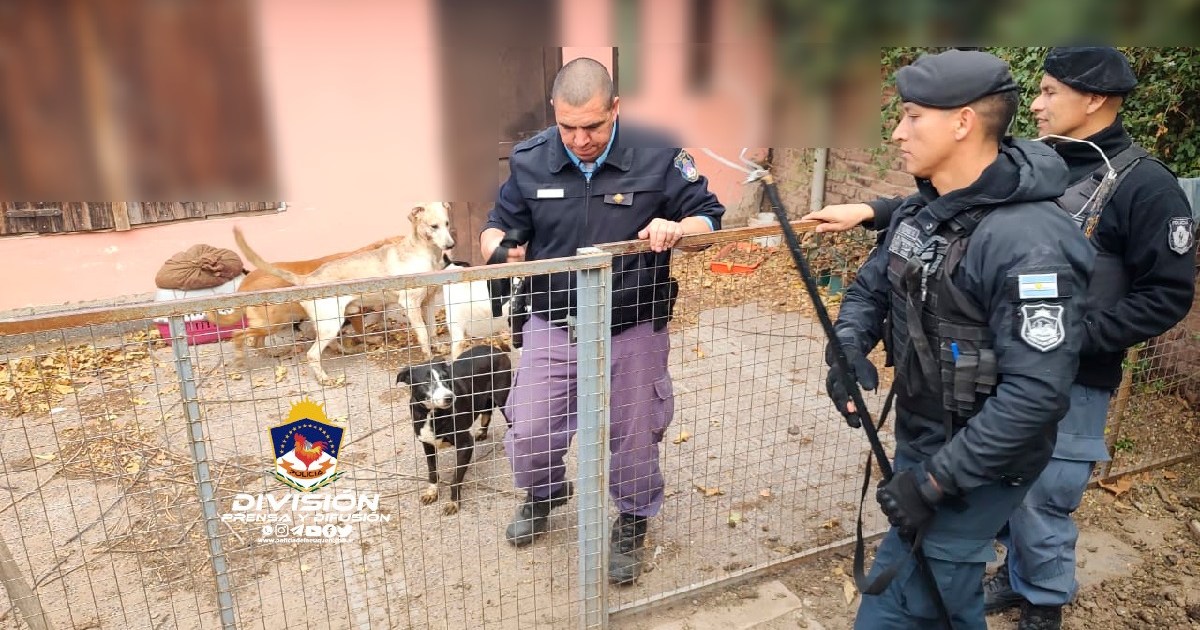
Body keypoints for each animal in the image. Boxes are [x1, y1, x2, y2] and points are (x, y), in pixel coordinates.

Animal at [206, 236, 403, 367]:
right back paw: (241, 356)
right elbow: (362, 330)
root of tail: (244, 284)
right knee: (242, 334)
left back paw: (273, 353)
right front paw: (370, 339)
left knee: (257, 341)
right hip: (274, 323)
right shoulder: (354, 312)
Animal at [234, 202, 455, 385]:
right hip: (321, 323)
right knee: (310, 354)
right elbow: (423, 333)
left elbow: (432, 330)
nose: (451, 246)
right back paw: (324, 378)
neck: (424, 253)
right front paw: (428, 357)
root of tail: (308, 279)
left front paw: (438, 348)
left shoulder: (429, 301)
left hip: (328, 323)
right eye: (433, 226)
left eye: (447, 223)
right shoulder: (410, 304)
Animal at [395, 344, 513, 515]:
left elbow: (456, 478)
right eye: (426, 382)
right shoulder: (427, 444)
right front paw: (432, 492)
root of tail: (494, 348)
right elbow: (432, 471)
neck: (432, 414)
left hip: (503, 396)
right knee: (487, 412)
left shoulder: (465, 445)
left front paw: (453, 502)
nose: (450, 397)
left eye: (446, 378)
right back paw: (482, 432)